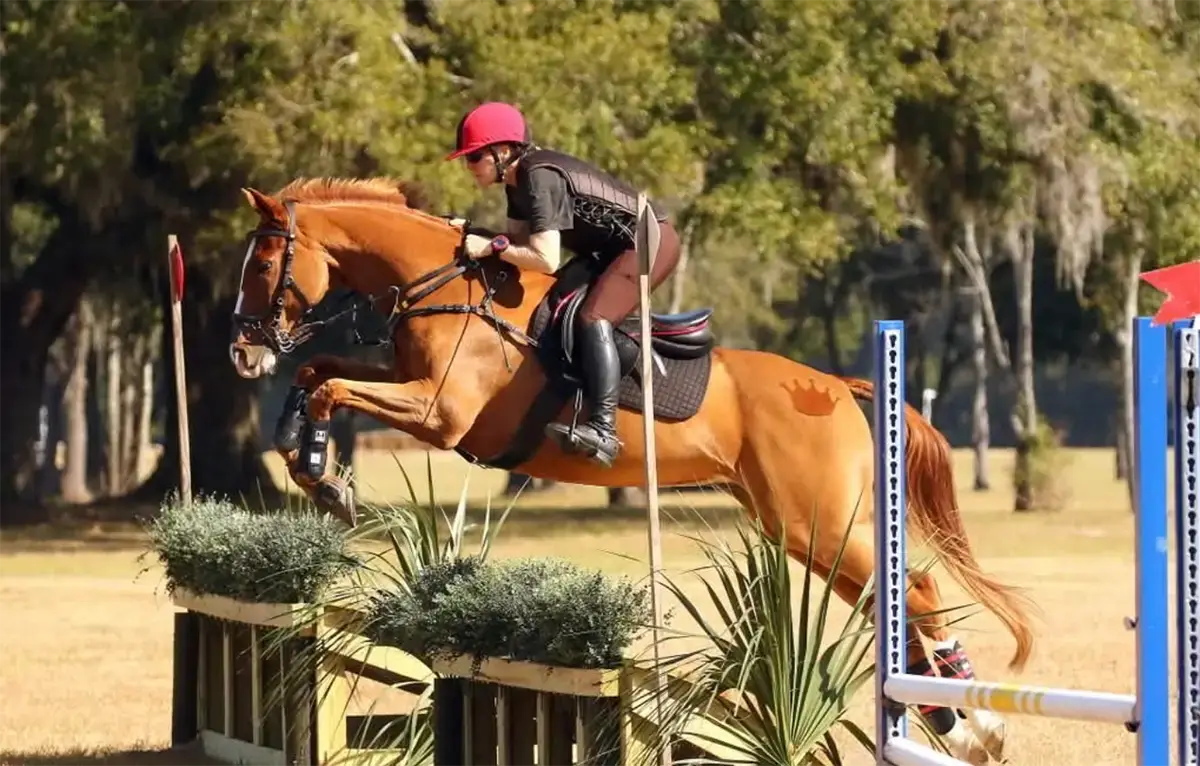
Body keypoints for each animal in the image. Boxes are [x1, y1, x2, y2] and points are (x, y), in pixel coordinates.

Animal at [227, 177, 1037, 763]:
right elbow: (320, 375)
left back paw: (970, 720)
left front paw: (323, 474)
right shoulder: (404, 385)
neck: (447, 290)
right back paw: (949, 720)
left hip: (819, 520)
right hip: (802, 528)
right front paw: (308, 458)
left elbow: (330, 384)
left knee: (917, 587)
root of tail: (836, 386)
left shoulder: (438, 413)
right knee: (889, 598)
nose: (243, 352)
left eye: (263, 264)